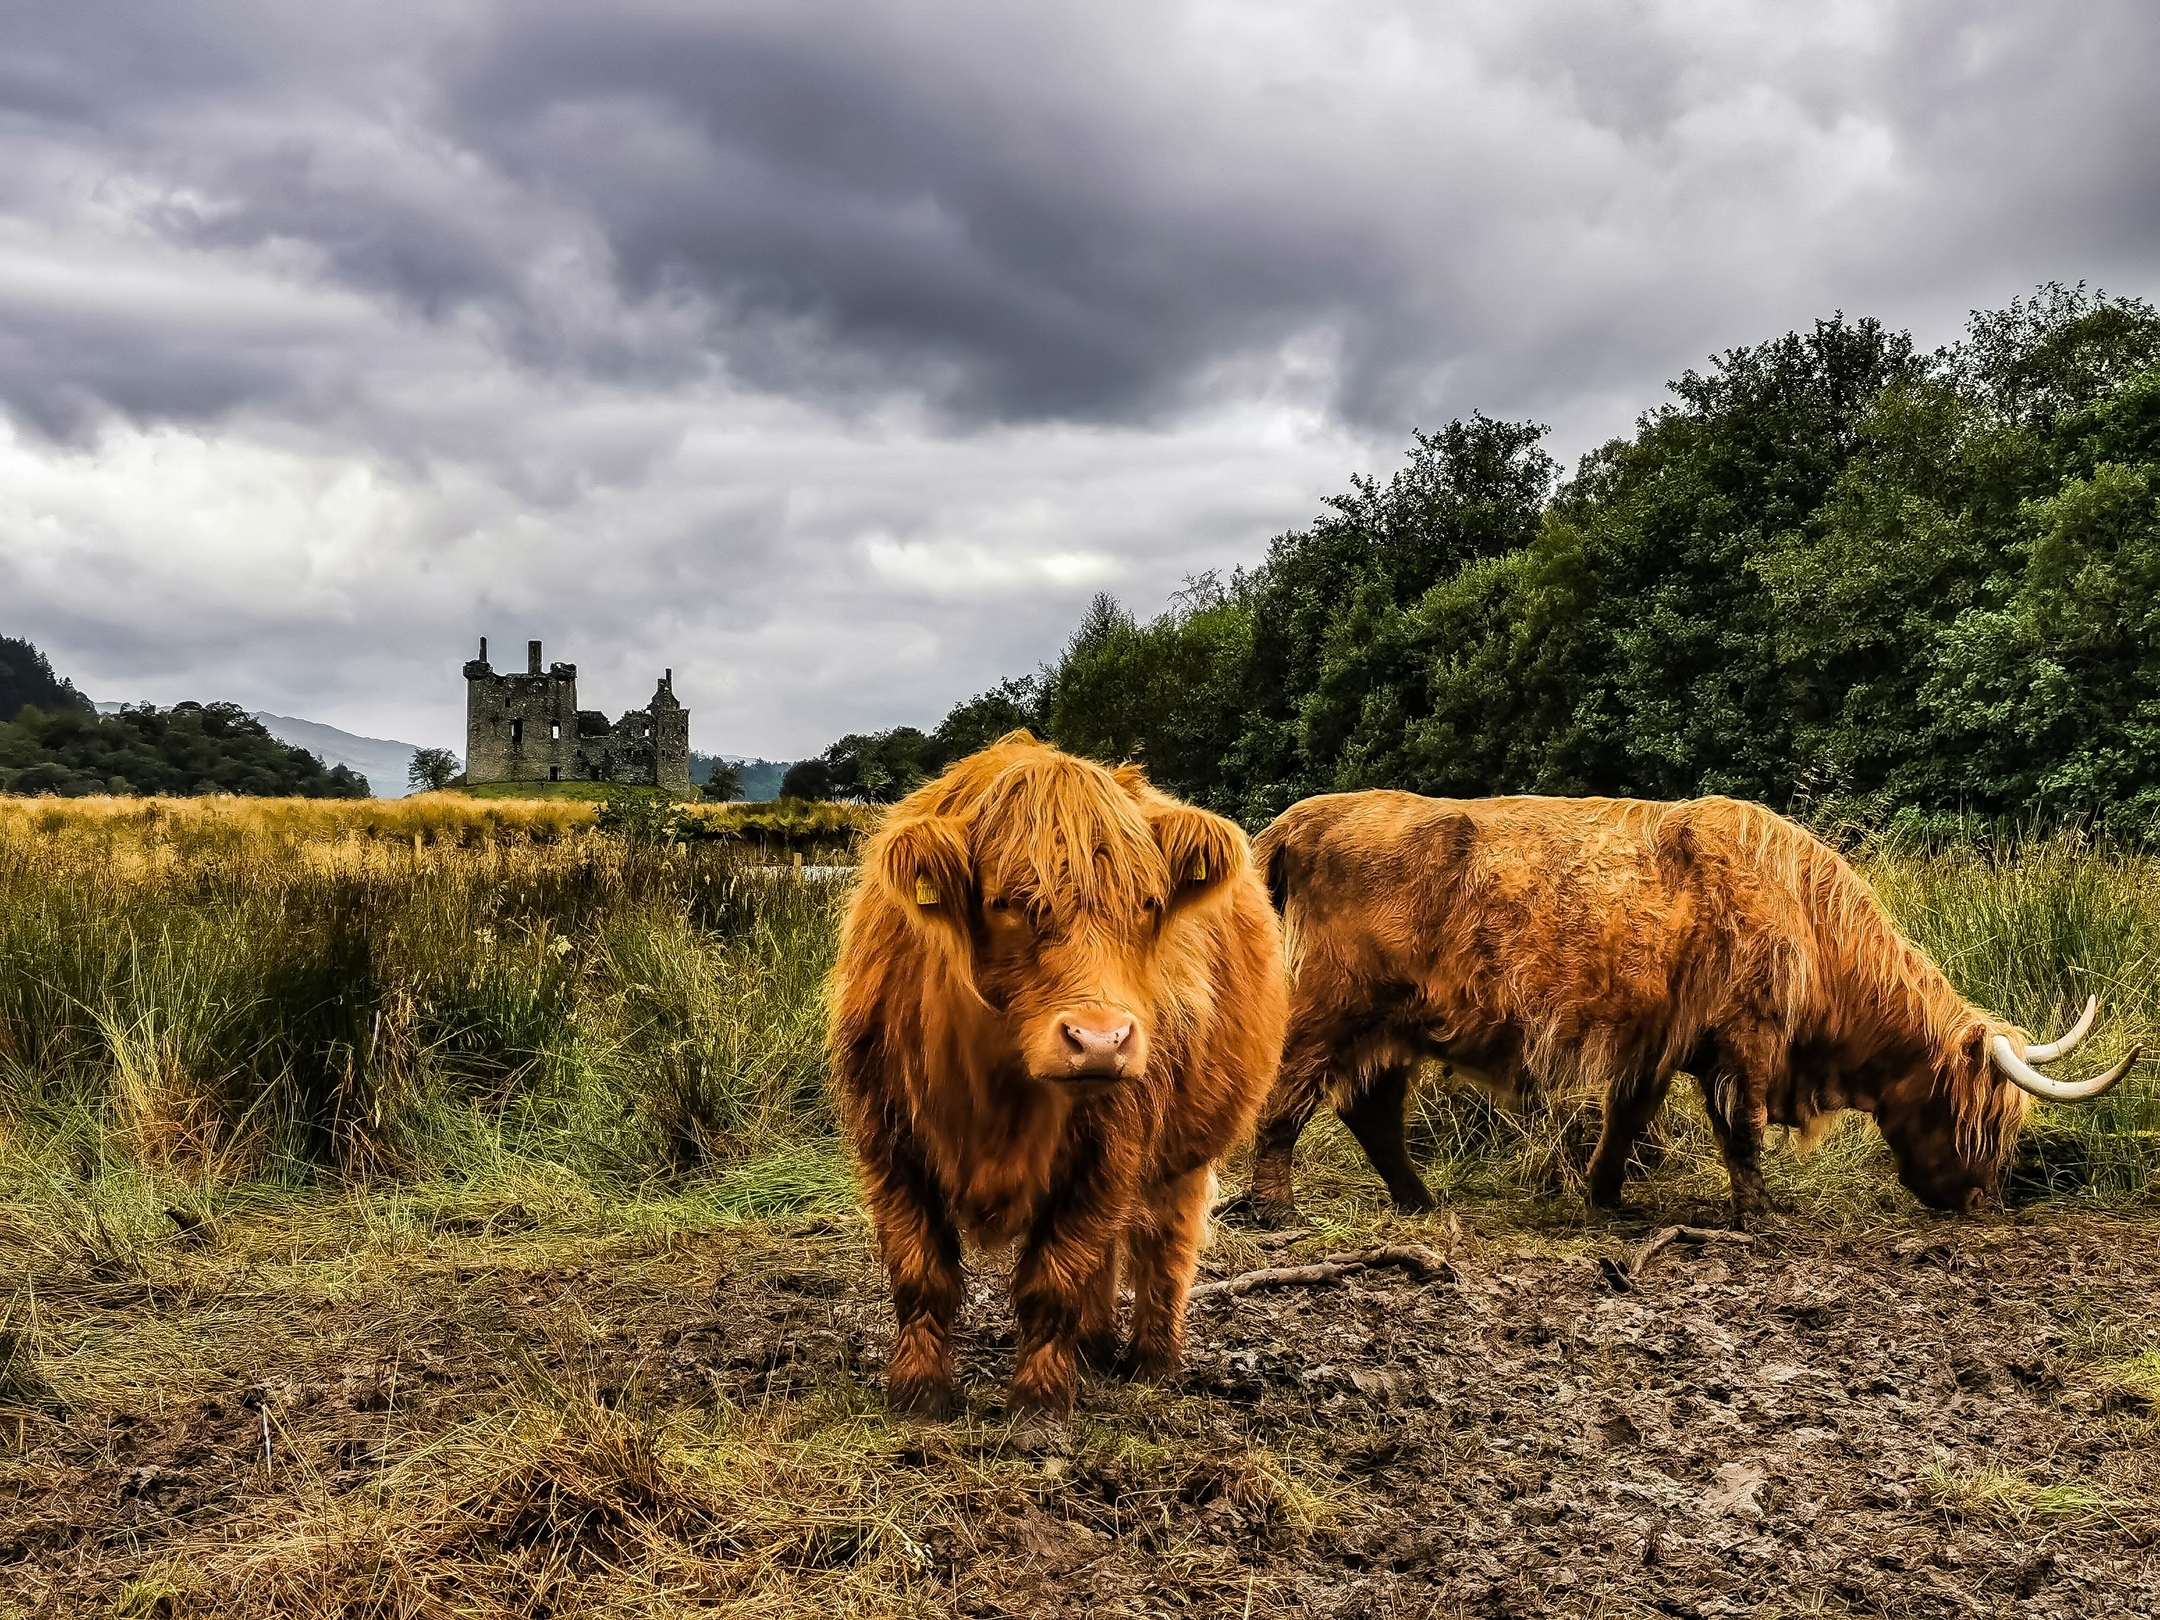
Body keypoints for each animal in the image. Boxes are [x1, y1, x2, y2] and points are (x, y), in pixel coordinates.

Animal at [830, 733, 1288, 1418]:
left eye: (1148, 904)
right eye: (1005, 903)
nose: (1100, 1041)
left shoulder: (1109, 1150)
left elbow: (1054, 1277)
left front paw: (1039, 1404)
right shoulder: (889, 1139)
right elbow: (922, 1272)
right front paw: (919, 1390)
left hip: (1186, 1151)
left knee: (1164, 1244)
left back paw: (1153, 1360)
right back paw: (1094, 1346)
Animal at [1241, 791, 2140, 1227]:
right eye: (1983, 1116)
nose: (1985, 1201)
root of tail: (1297, 821)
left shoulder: (1659, 1041)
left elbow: (1628, 1118)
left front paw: (1605, 1196)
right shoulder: (1749, 1035)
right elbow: (1740, 1129)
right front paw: (1760, 1215)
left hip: (1391, 1025)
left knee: (1371, 1109)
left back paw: (1419, 1199)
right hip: (1331, 1004)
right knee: (1287, 1099)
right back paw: (1276, 1208)